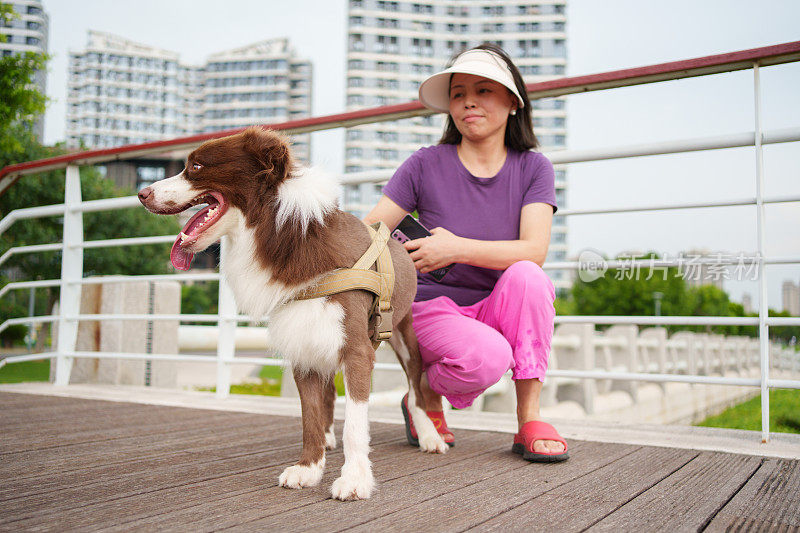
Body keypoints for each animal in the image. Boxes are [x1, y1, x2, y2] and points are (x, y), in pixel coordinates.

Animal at [139, 128, 450, 498]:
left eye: (196, 166)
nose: (142, 194)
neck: (284, 234)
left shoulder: (357, 348)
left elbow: (355, 422)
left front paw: (354, 478)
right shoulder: (303, 341)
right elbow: (310, 414)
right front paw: (309, 468)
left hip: (403, 332)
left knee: (415, 389)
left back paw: (429, 435)